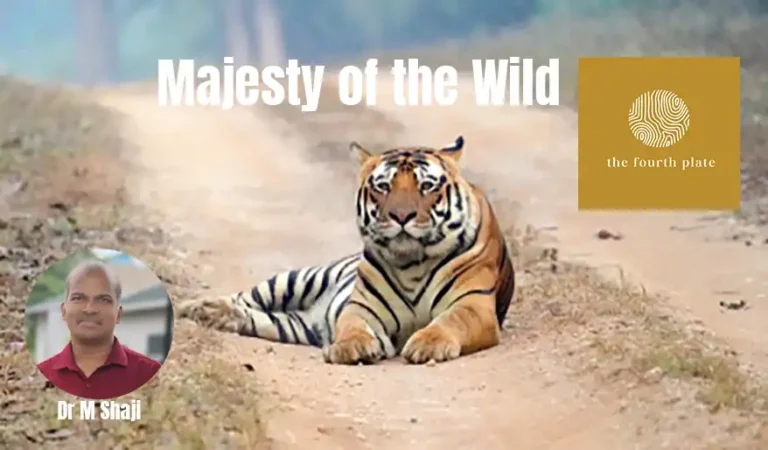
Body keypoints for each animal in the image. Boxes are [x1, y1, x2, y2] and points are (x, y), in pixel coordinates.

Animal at [178, 136, 516, 365]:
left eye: (427, 186)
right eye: (383, 187)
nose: (401, 216)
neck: (411, 265)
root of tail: (310, 315)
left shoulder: (473, 304)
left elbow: (449, 321)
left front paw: (427, 344)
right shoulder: (362, 306)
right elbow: (353, 325)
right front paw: (352, 347)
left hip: (293, 326)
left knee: (255, 316)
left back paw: (215, 316)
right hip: (295, 279)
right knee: (245, 297)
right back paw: (195, 307)